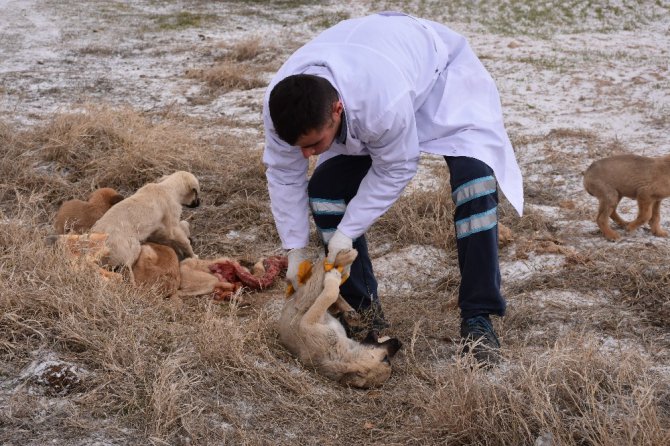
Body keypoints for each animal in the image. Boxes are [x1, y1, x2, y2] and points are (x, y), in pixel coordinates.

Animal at [280, 249, 402, 388]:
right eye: (386, 359)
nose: (399, 343)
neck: (344, 354)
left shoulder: (308, 321)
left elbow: (329, 295)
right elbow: (329, 295)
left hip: (307, 295)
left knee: (322, 270)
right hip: (307, 297)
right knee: (325, 268)